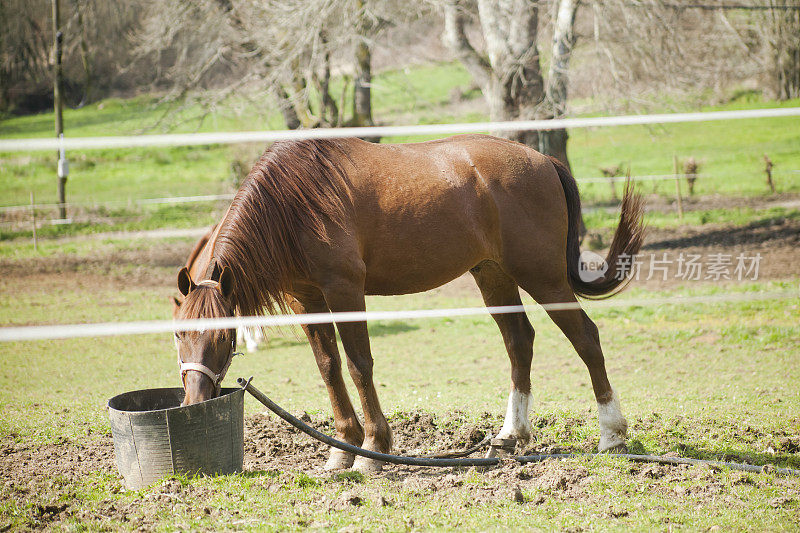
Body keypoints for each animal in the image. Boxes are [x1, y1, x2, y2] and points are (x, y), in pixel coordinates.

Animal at [175, 135, 644, 472]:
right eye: (179, 334)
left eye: (224, 336)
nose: (194, 402)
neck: (295, 203)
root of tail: (544, 161)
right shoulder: (304, 297)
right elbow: (328, 368)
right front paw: (342, 449)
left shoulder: (345, 291)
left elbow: (357, 366)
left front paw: (371, 449)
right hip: (493, 276)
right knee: (519, 341)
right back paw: (512, 434)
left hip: (543, 278)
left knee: (586, 338)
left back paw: (612, 435)